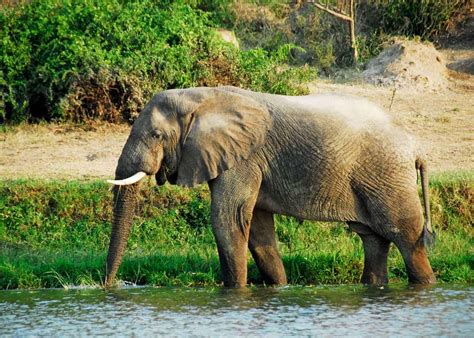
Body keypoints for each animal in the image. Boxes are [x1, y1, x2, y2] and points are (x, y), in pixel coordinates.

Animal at [106, 86, 436, 286]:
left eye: (157, 136)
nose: (108, 285)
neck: (201, 96)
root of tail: (416, 146)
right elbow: (257, 226)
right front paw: (279, 288)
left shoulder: (243, 158)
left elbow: (228, 220)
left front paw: (235, 292)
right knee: (373, 240)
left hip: (388, 177)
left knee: (406, 237)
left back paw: (426, 285)